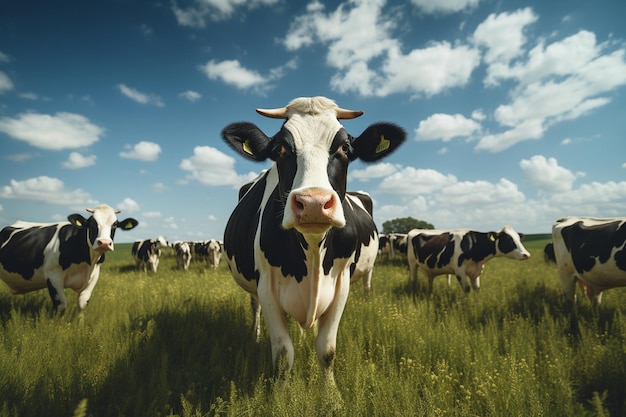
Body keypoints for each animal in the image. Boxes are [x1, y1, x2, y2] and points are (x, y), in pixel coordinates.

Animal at [0, 203, 138, 310]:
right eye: (92, 224)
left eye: (115, 225)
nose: (104, 242)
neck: (87, 263)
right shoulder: (53, 275)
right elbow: (61, 305)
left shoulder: (94, 276)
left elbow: (82, 304)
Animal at [219, 96, 404, 378]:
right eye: (281, 148)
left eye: (345, 148)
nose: (314, 203)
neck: (313, 252)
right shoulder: (267, 286)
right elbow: (283, 356)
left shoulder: (341, 283)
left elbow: (326, 350)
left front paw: (331, 391)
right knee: (255, 307)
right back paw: (256, 333)